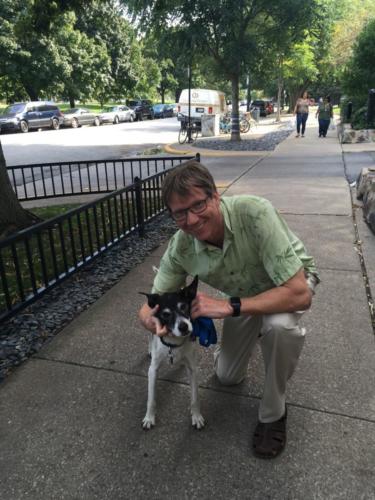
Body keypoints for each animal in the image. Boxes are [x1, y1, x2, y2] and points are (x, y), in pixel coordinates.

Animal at [141, 276, 206, 432]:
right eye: (165, 314)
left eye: (184, 306)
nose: (184, 327)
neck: (174, 344)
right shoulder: (152, 370)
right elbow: (151, 399)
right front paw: (149, 418)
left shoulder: (193, 370)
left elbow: (195, 398)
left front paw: (196, 416)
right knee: (150, 336)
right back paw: (150, 349)